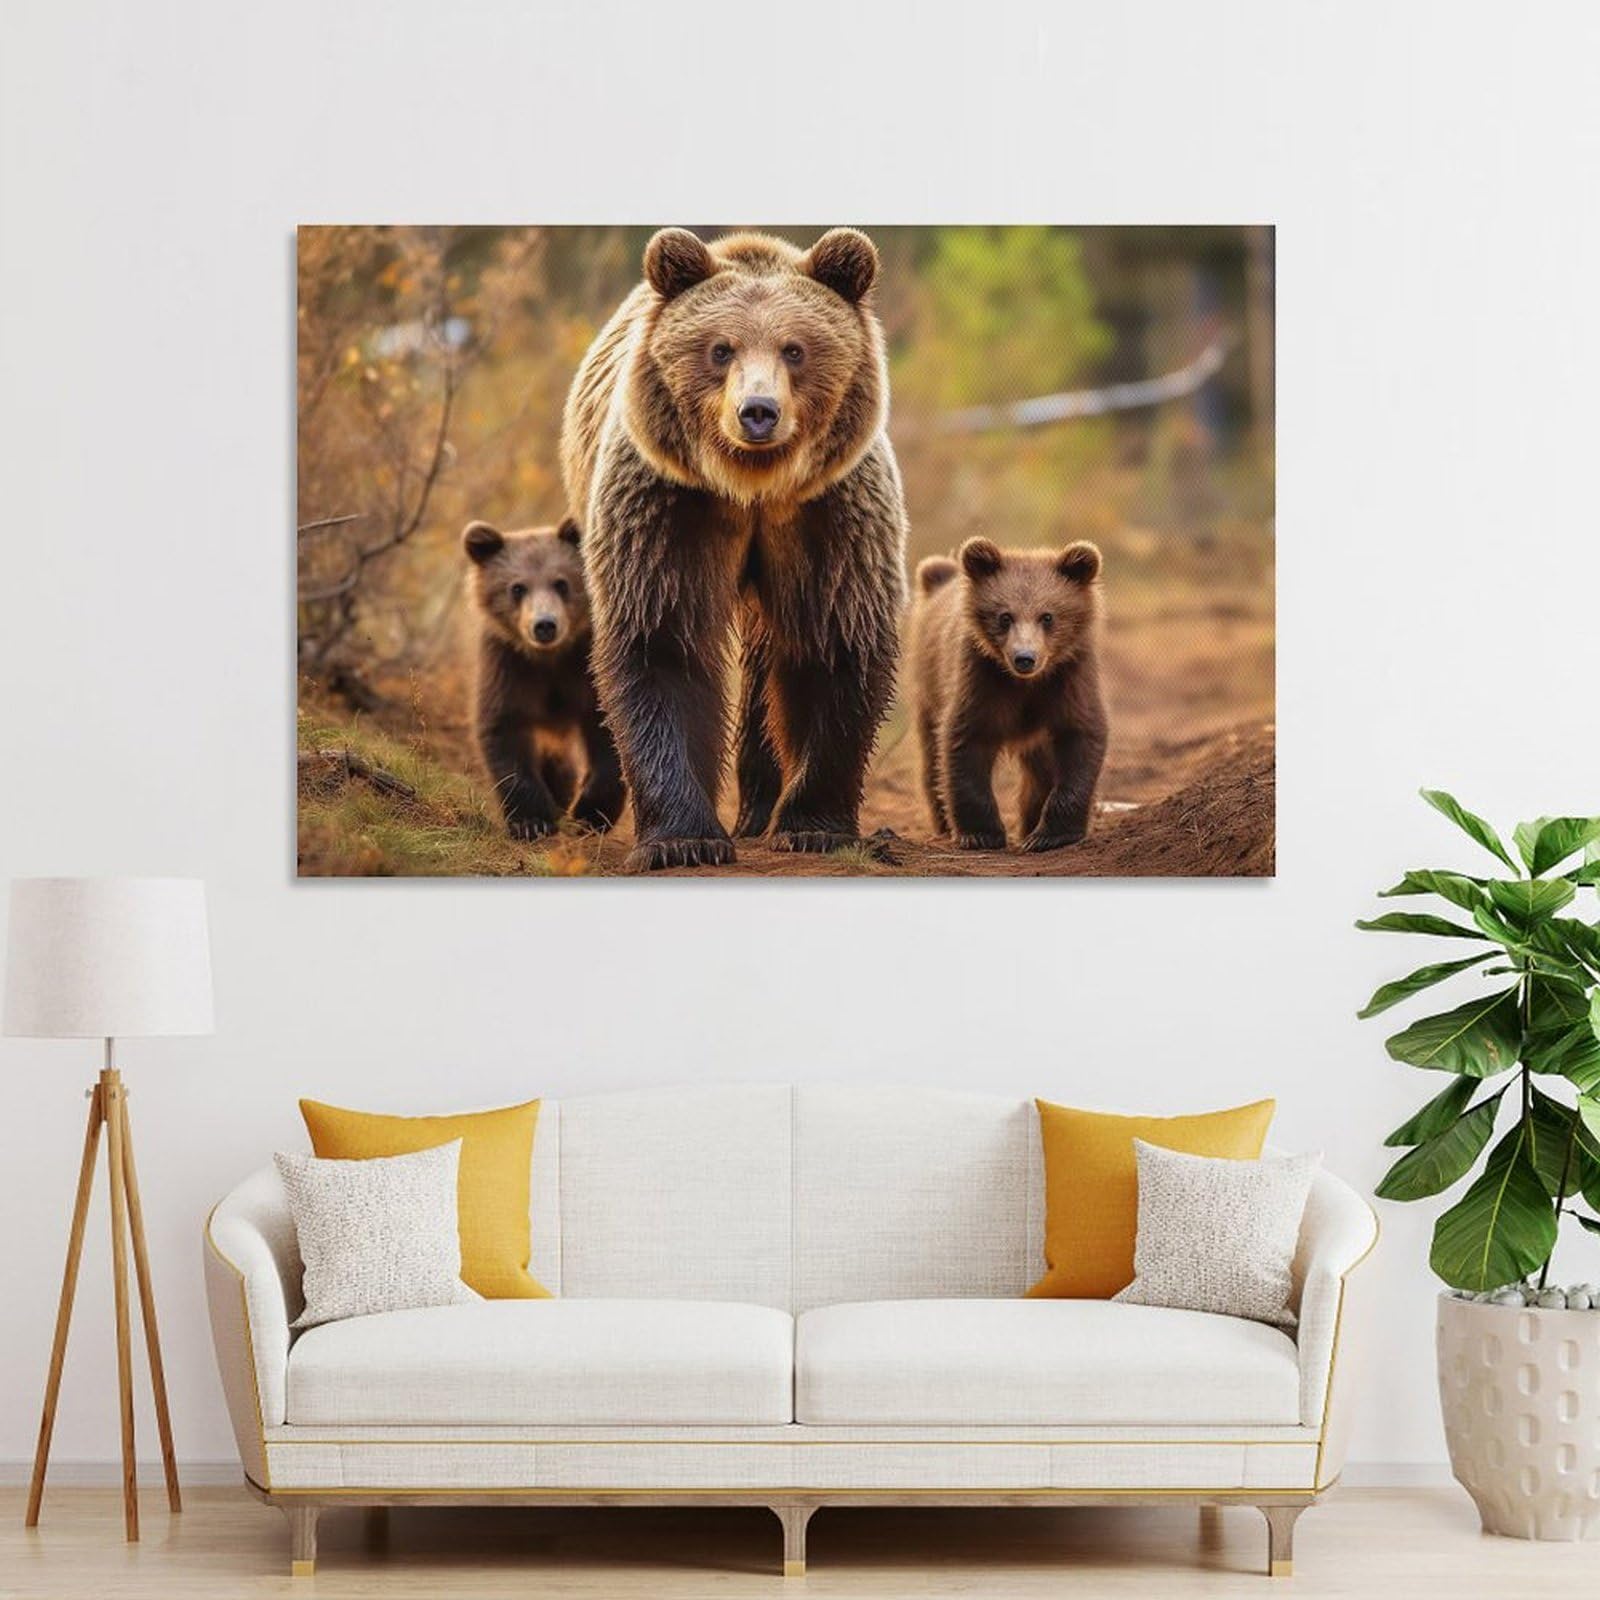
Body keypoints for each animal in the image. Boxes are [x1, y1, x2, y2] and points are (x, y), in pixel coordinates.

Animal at [461, 517, 625, 839]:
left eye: (561, 582)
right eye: (517, 588)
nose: (545, 625)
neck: (549, 658)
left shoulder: (583, 666)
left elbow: (608, 727)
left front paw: (591, 814)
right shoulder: (509, 667)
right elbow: (504, 729)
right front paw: (532, 821)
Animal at [560, 227, 907, 872]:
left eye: (794, 349)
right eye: (720, 349)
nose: (759, 412)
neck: (753, 488)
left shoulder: (827, 514)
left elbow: (832, 641)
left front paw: (813, 826)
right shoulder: (670, 506)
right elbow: (662, 642)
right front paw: (682, 839)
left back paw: (759, 808)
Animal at [909, 536, 1109, 852]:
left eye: (1047, 616)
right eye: (1005, 616)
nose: (1024, 658)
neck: (1026, 683)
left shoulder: (1069, 677)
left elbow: (1081, 735)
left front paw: (1051, 834)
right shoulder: (981, 679)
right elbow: (965, 739)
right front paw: (981, 833)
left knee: (1041, 770)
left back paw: (1030, 824)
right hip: (928, 687)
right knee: (931, 756)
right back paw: (942, 823)